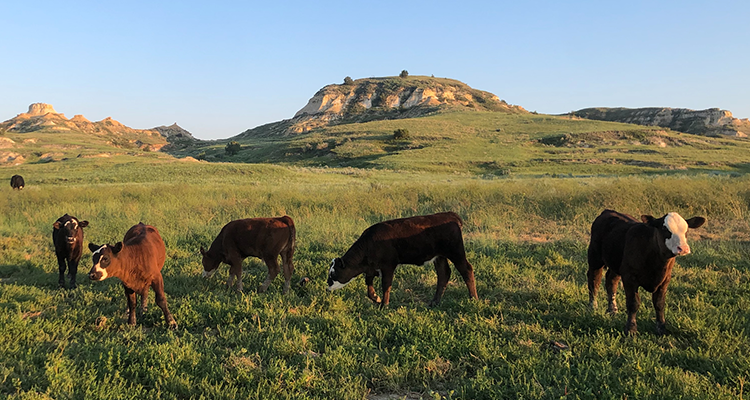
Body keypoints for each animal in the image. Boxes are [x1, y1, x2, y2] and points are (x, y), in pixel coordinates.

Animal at [328, 211, 478, 308]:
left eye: (333, 274)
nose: (327, 287)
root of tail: (450, 215)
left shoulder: (388, 265)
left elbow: (386, 284)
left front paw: (384, 305)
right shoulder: (371, 268)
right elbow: (368, 284)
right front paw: (376, 298)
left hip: (456, 252)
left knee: (466, 270)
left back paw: (473, 299)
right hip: (439, 256)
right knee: (443, 274)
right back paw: (434, 302)